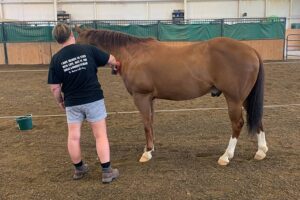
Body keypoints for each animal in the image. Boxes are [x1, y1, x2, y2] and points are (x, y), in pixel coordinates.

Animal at [74, 27, 268, 166]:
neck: (133, 54)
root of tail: (251, 49)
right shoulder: (150, 99)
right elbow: (151, 123)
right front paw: (150, 148)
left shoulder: (141, 97)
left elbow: (146, 124)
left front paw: (146, 153)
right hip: (246, 98)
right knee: (257, 119)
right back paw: (261, 151)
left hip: (234, 99)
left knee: (237, 124)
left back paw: (226, 156)